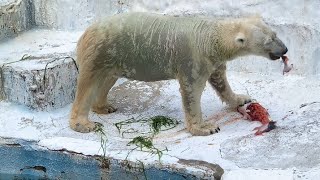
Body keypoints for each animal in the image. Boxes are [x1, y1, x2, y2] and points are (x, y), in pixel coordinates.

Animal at [70, 12, 288, 135]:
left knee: (107, 79)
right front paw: (205, 127)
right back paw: (83, 124)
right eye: (269, 40)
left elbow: (220, 82)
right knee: (88, 84)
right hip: (100, 50)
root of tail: (85, 32)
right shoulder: (193, 59)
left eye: (275, 34)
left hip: (114, 56)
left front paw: (241, 98)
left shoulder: (213, 60)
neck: (210, 38)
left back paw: (104, 107)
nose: (285, 50)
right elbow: (191, 91)